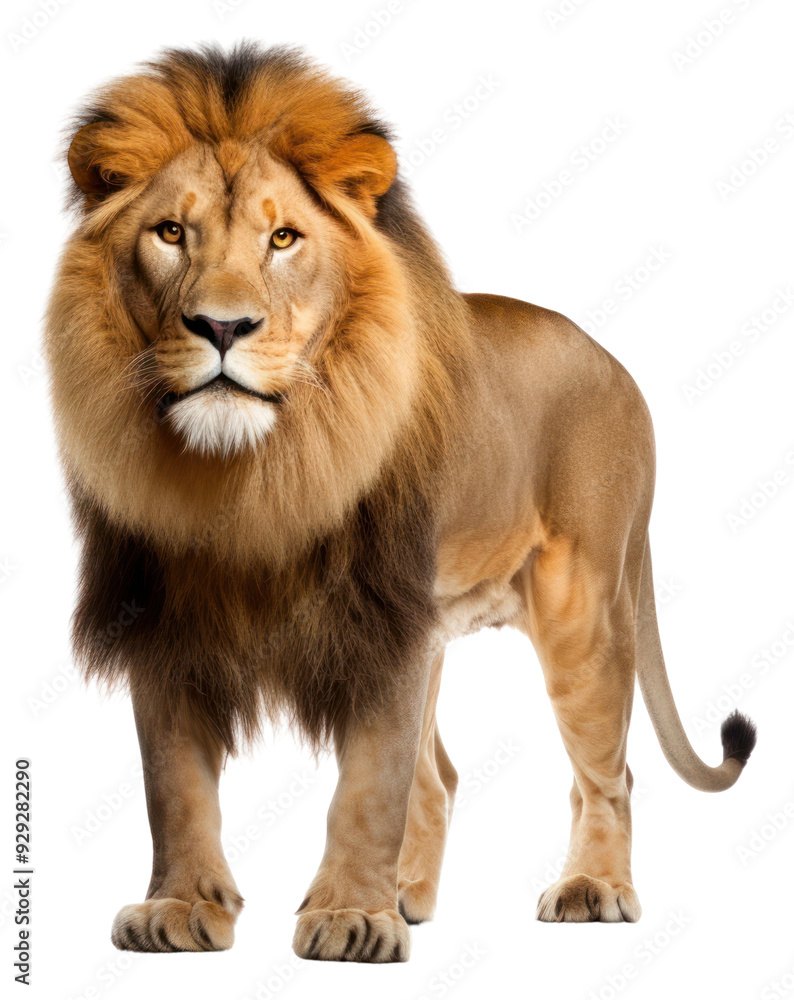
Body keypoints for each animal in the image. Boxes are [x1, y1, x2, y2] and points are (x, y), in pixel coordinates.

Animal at [45, 43, 756, 961]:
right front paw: (181, 907)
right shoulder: (165, 618)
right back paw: (410, 895)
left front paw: (351, 918)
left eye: (283, 238)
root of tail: (615, 361)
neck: (252, 475)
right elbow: (175, 785)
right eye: (171, 233)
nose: (222, 328)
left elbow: (369, 788)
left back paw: (591, 890)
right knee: (444, 775)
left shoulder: (380, 622)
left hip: (581, 606)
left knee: (608, 773)